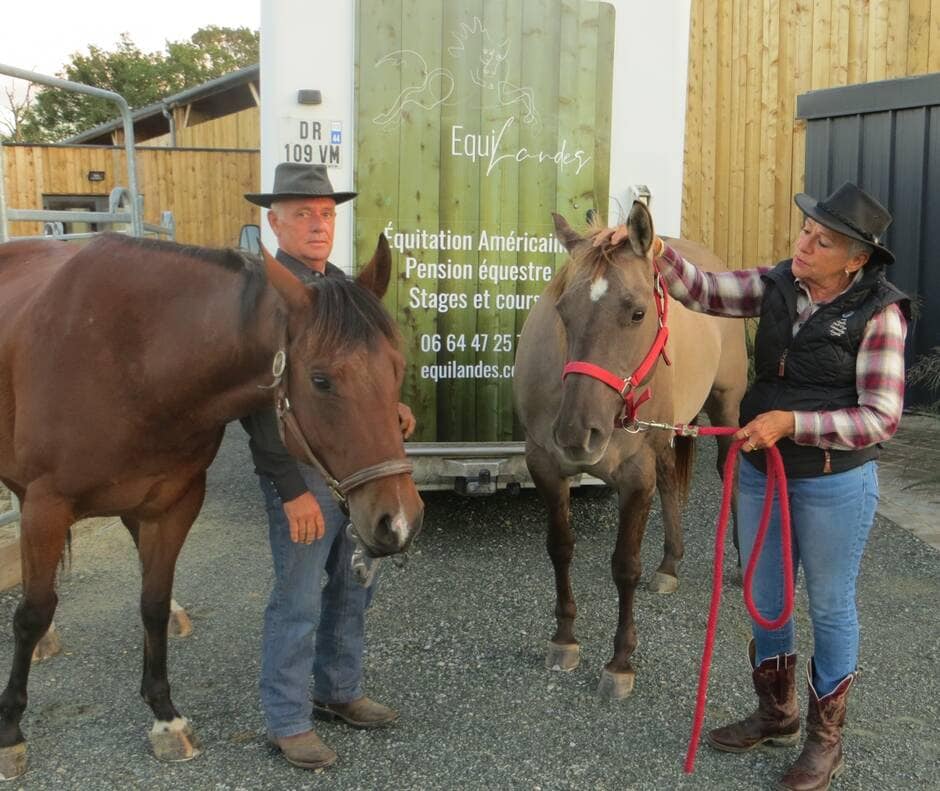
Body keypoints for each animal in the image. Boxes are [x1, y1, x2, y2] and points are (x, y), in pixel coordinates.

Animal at [0, 232, 422, 776]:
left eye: (397, 367)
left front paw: (165, 718)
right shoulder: (46, 504)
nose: (398, 521)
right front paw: (10, 732)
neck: (132, 357)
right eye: (321, 380)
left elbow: (153, 603)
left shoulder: (175, 502)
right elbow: (31, 611)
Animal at [510, 203, 744, 700]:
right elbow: (560, 547)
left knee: (729, 471)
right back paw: (670, 563)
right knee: (673, 479)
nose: (577, 433)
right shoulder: (545, 465)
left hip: (726, 406)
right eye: (563, 311)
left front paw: (620, 661)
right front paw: (565, 637)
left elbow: (625, 566)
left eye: (637, 313)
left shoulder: (636, 477)